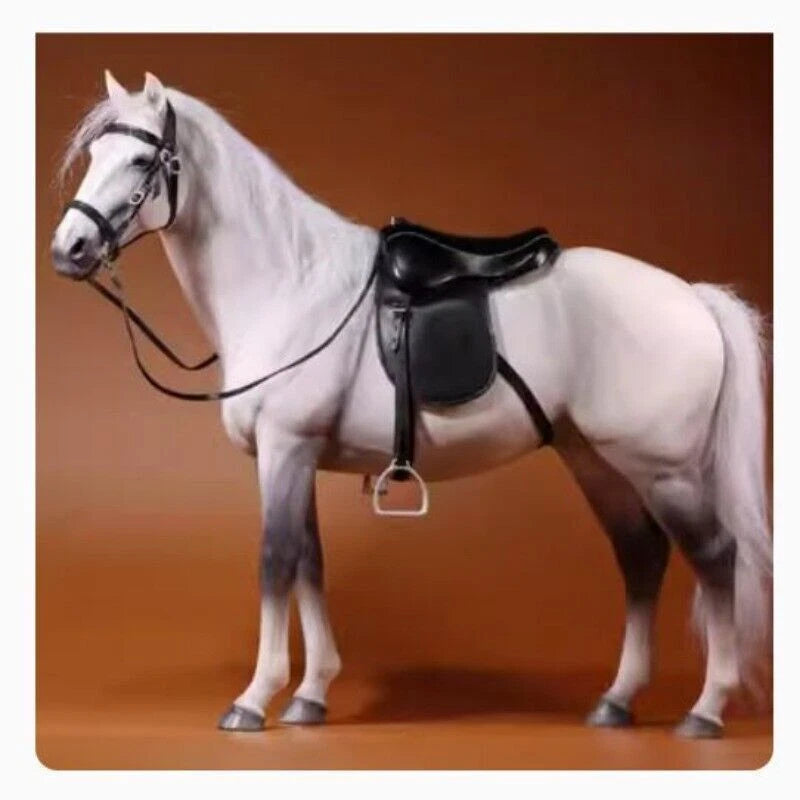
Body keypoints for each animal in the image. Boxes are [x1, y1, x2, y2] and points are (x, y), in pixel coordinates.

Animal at [50, 71, 771, 739]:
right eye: (94, 155)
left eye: (140, 160)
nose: (68, 250)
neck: (290, 284)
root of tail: (693, 296)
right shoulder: (299, 456)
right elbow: (310, 563)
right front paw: (311, 694)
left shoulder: (285, 447)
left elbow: (275, 561)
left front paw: (255, 698)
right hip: (595, 459)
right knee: (641, 555)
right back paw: (616, 701)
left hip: (663, 469)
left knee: (715, 557)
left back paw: (706, 709)